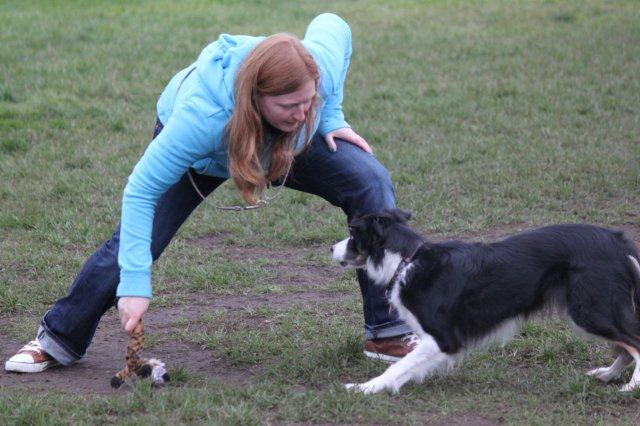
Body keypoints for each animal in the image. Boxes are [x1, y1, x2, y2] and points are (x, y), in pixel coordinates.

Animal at [331, 209, 640, 394]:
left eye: (353, 233)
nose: (331, 247)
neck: (406, 260)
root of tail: (618, 241)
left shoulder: (443, 337)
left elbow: (397, 365)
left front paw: (364, 387)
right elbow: (406, 367)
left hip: (590, 311)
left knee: (634, 343)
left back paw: (633, 387)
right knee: (625, 347)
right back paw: (607, 374)